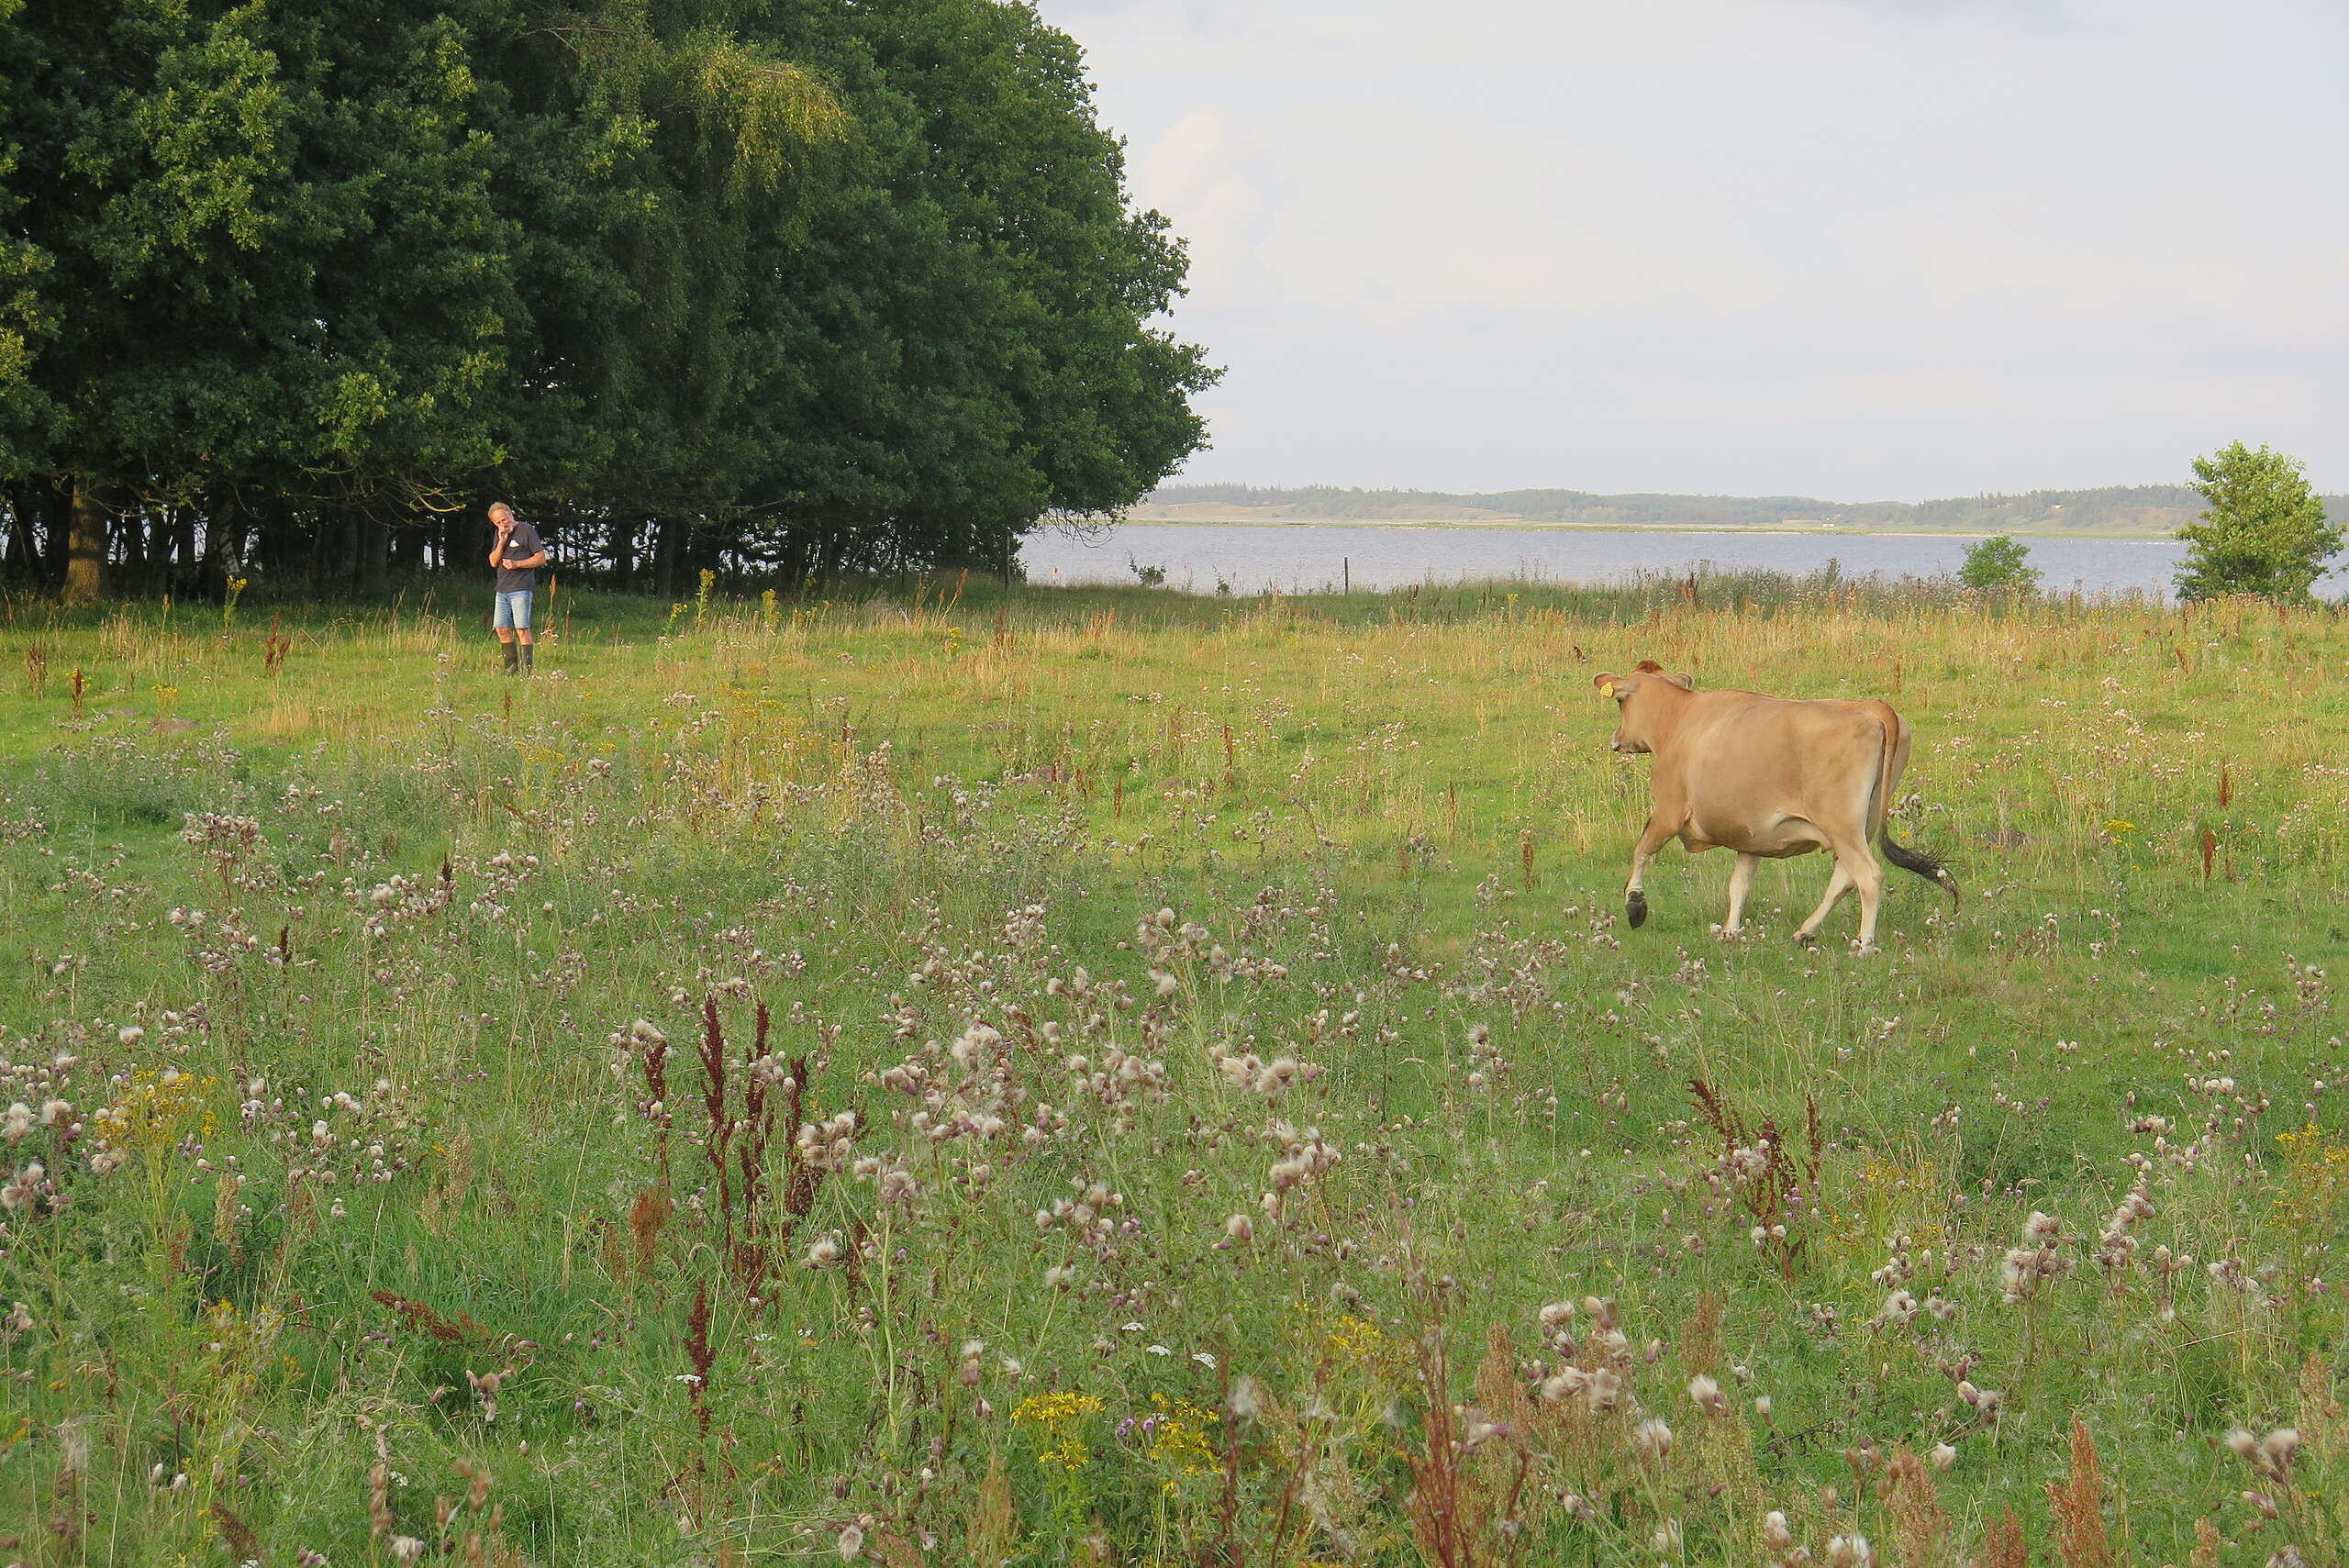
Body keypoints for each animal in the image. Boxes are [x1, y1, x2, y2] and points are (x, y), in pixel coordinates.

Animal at [1587, 657, 1954, 948]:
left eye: (1620, 702)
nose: (1617, 739)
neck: (1680, 721)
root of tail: (1873, 706)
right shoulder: (1751, 834)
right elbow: (1739, 885)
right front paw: (1729, 931)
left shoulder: (1668, 811)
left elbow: (1641, 851)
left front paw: (1635, 904)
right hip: (1863, 824)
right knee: (1844, 878)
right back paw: (1804, 932)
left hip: (1842, 824)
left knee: (1869, 876)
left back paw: (1863, 944)